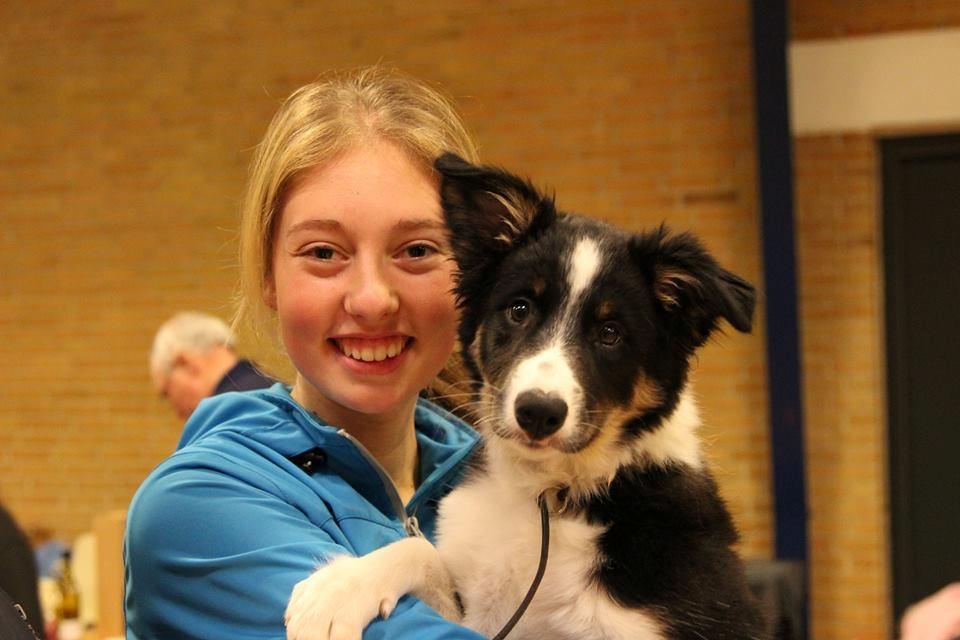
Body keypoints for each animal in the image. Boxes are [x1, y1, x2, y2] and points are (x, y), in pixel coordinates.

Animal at [284, 155, 764, 640]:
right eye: (520, 309)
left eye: (611, 333)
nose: (538, 413)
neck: (548, 493)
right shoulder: (480, 610)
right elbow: (423, 553)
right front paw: (340, 587)